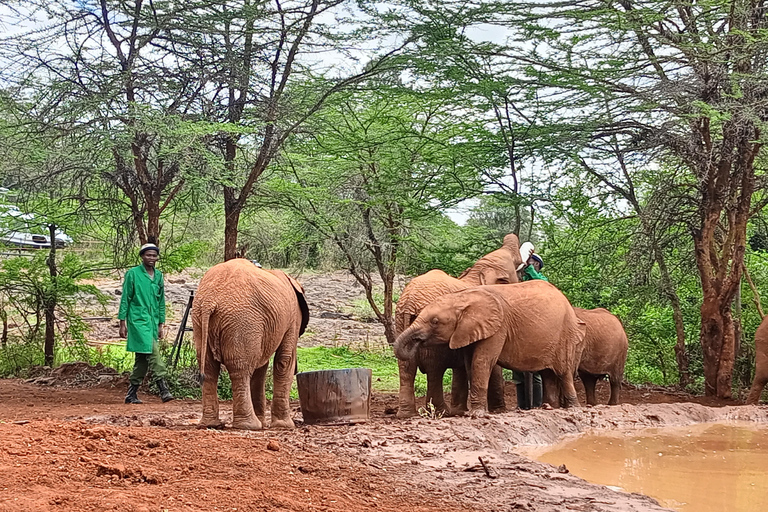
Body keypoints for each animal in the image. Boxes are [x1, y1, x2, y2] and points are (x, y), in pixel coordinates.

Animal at [192, 258, 308, 430]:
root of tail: (210, 300)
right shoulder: (293, 319)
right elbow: (284, 361)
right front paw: (285, 426)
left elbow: (261, 366)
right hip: (242, 320)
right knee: (241, 369)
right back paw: (249, 425)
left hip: (200, 320)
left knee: (209, 368)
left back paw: (211, 424)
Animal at [392, 234, 524, 418]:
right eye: (517, 267)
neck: (479, 271)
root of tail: (410, 299)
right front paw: (499, 410)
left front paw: (460, 411)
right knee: (434, 369)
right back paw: (442, 411)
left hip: (399, 322)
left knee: (407, 368)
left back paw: (407, 414)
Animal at [396, 280, 588, 416]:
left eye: (435, 322)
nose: (417, 343)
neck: (462, 299)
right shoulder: (469, 330)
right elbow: (470, 363)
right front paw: (476, 412)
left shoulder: (498, 327)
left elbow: (481, 361)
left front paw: (476, 414)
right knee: (548, 373)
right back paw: (548, 408)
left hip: (565, 334)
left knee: (563, 371)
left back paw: (573, 409)